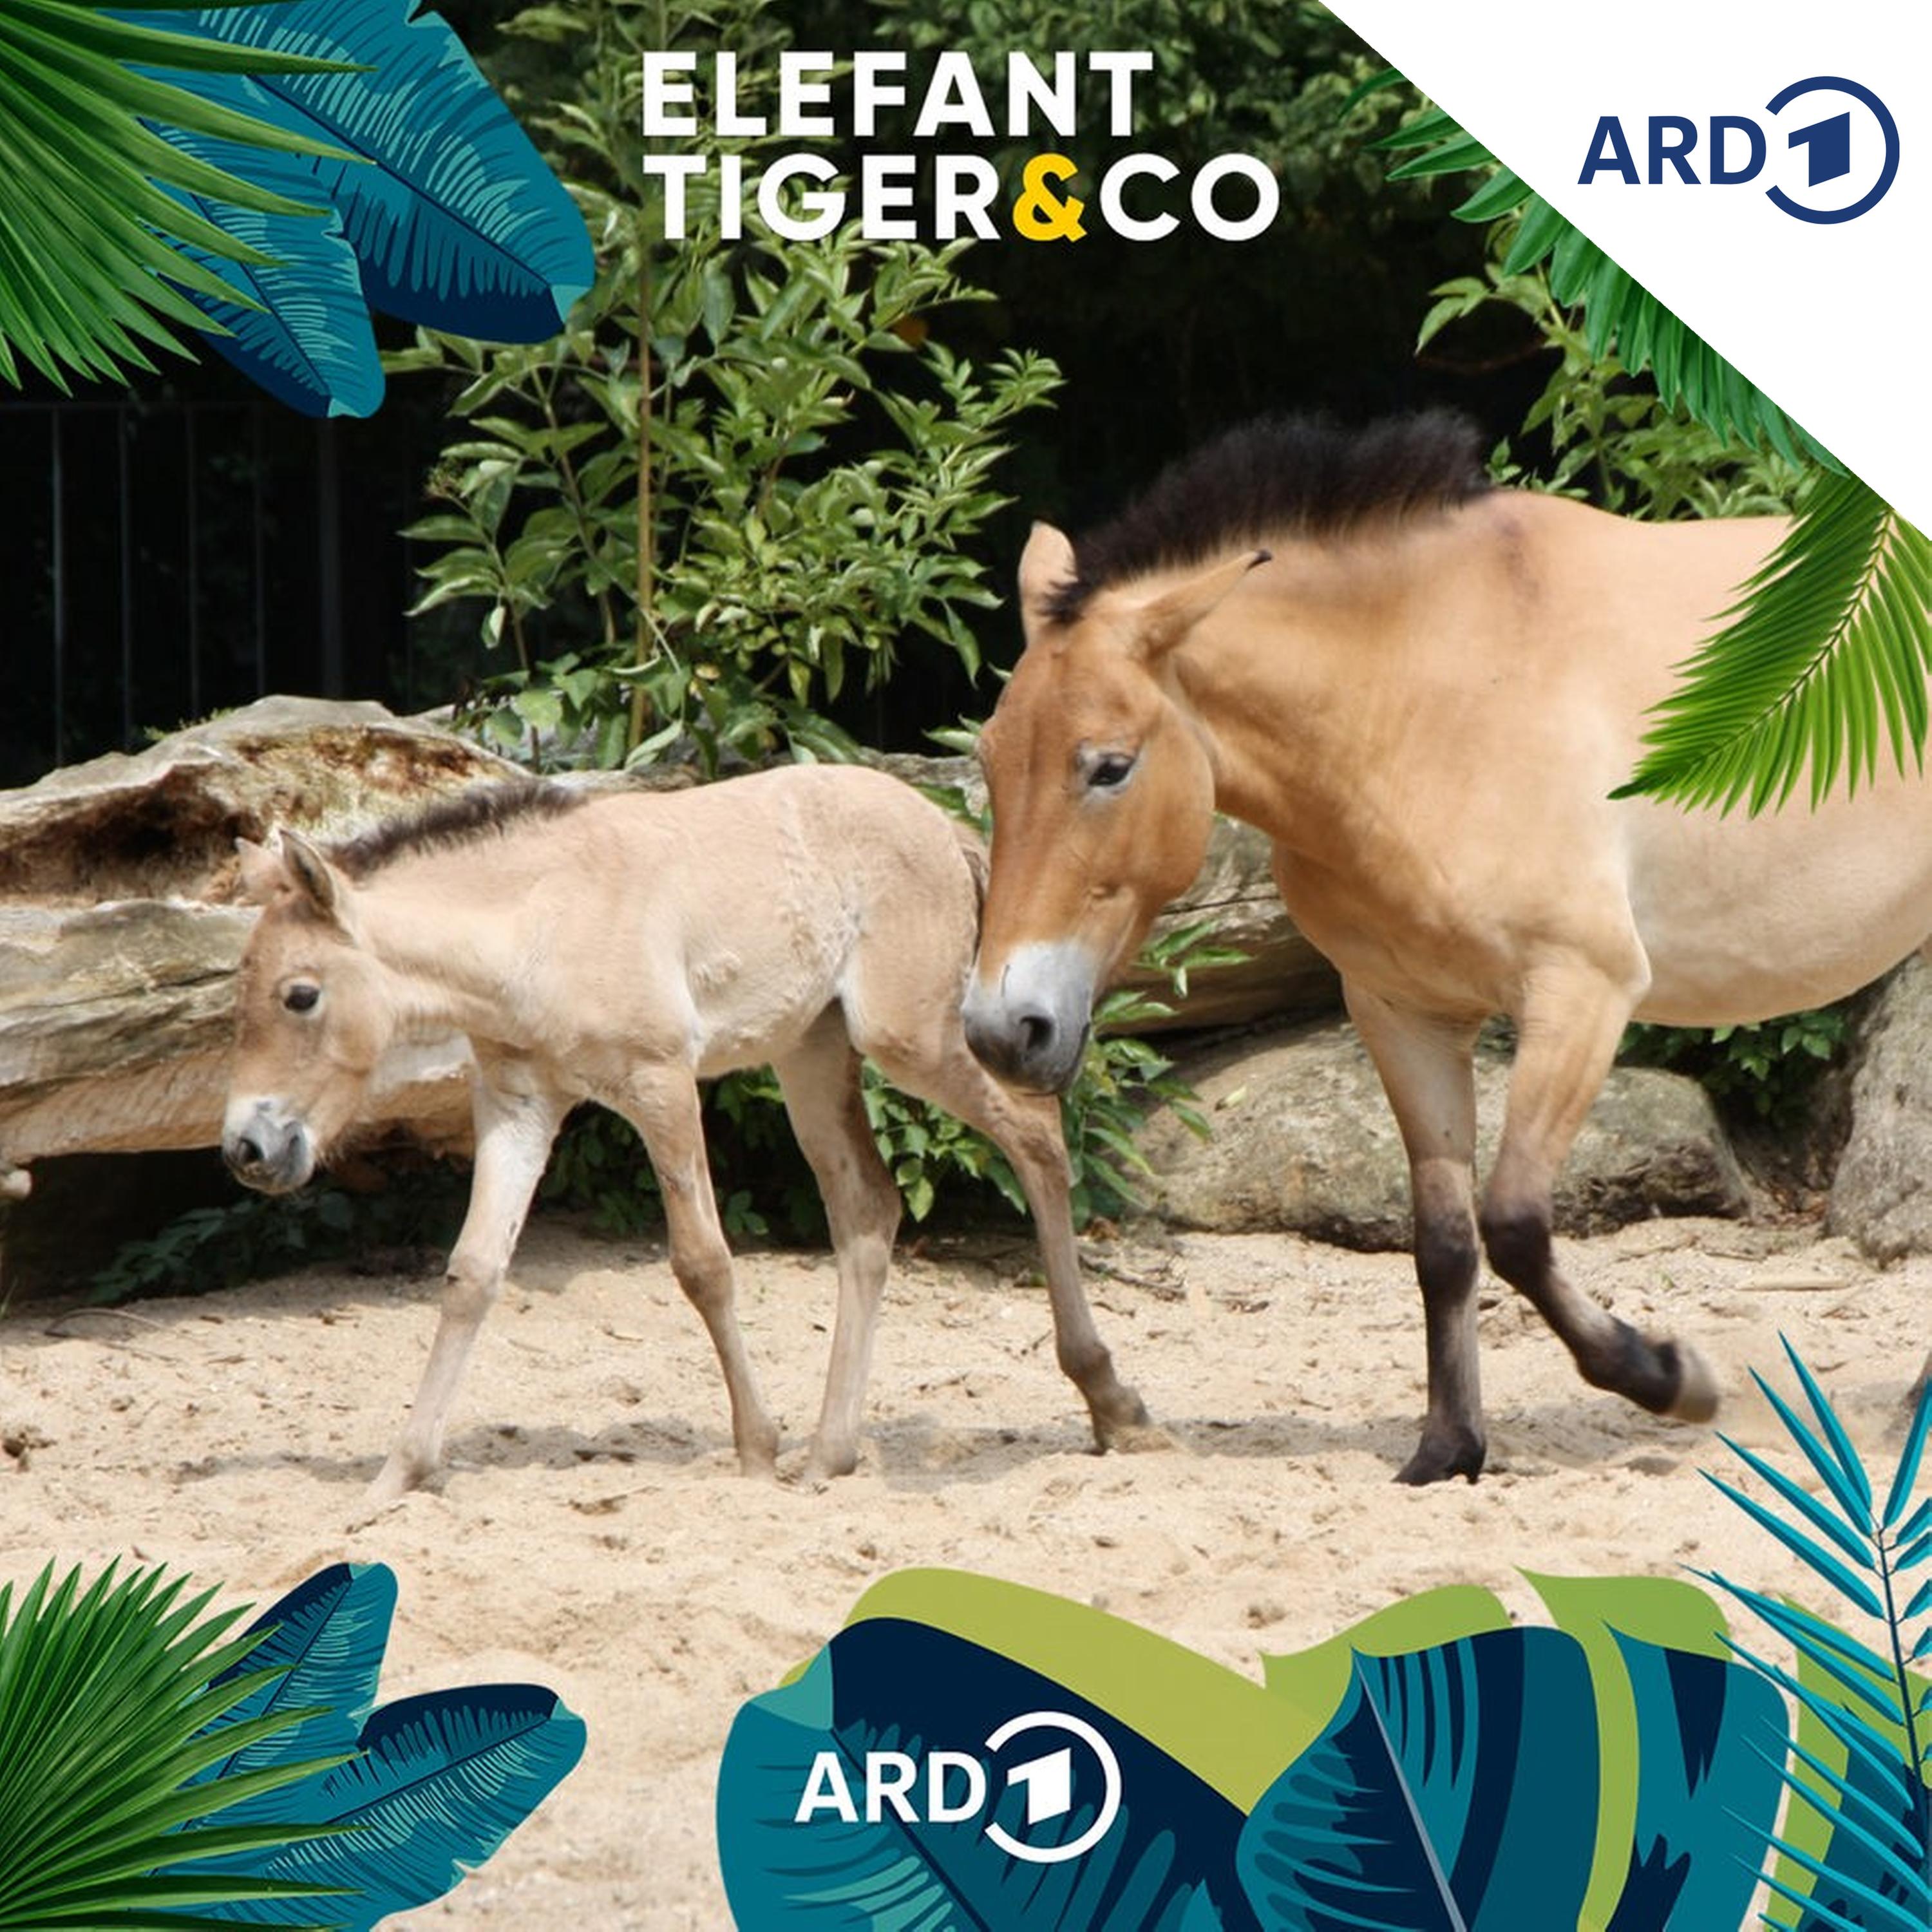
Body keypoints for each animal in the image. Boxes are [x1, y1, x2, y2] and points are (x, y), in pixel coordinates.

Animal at [221, 763, 1152, 1506]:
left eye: (300, 995)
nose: (246, 1149)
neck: (538, 924)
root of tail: (944, 827)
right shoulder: (519, 1105)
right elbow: (472, 1275)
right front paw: (398, 1476)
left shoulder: (660, 1086)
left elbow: (703, 1264)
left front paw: (755, 1451)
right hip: (813, 1055)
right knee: (868, 1210)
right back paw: (832, 1453)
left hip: (912, 1040)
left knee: (1037, 1138)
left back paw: (1112, 1402)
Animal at [962, 412, 1932, 1485]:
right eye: (990, 760)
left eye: (1109, 768)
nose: (1004, 1027)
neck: (1433, 698)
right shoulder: (1404, 1014)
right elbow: (1443, 1243)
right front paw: (1446, 1451)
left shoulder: (1580, 995)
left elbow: (1512, 1223)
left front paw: (1672, 1377)